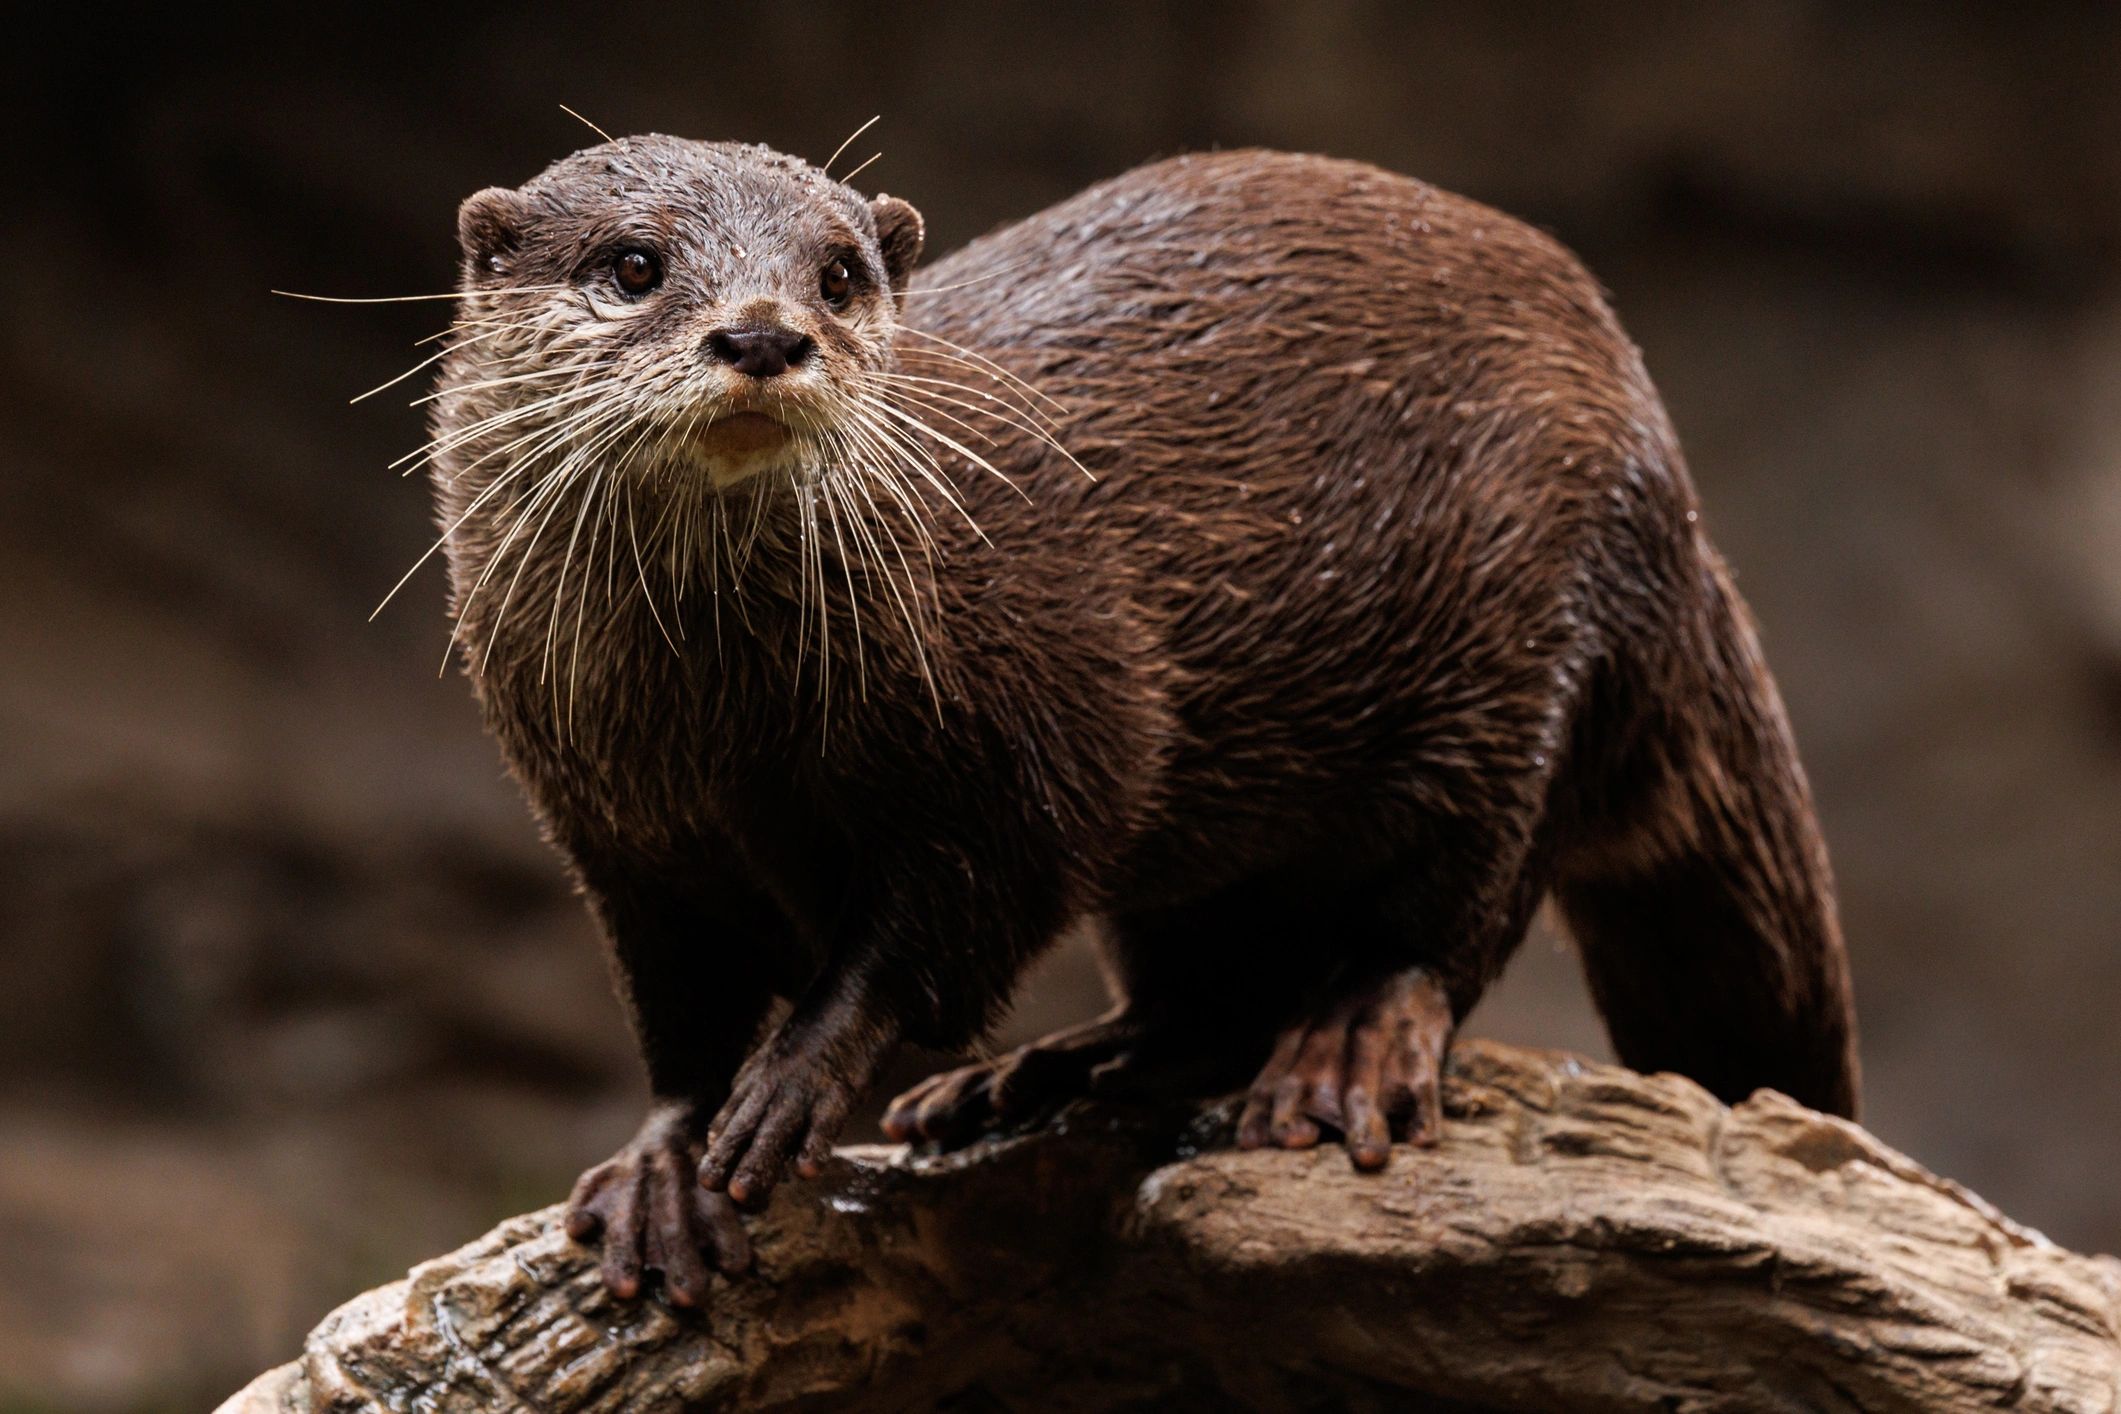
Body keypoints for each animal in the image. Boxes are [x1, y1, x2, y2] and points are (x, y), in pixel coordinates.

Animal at [414, 135, 1857, 1305]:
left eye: (838, 275)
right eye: (634, 262)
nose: (765, 332)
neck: (721, 736)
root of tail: (1675, 499)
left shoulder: (1043, 721)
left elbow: (959, 911)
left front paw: (798, 1076)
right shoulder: (613, 834)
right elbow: (676, 1011)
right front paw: (662, 1166)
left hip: (1534, 648)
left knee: (1452, 906)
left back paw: (1341, 1050)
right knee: (1207, 985)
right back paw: (1046, 1076)